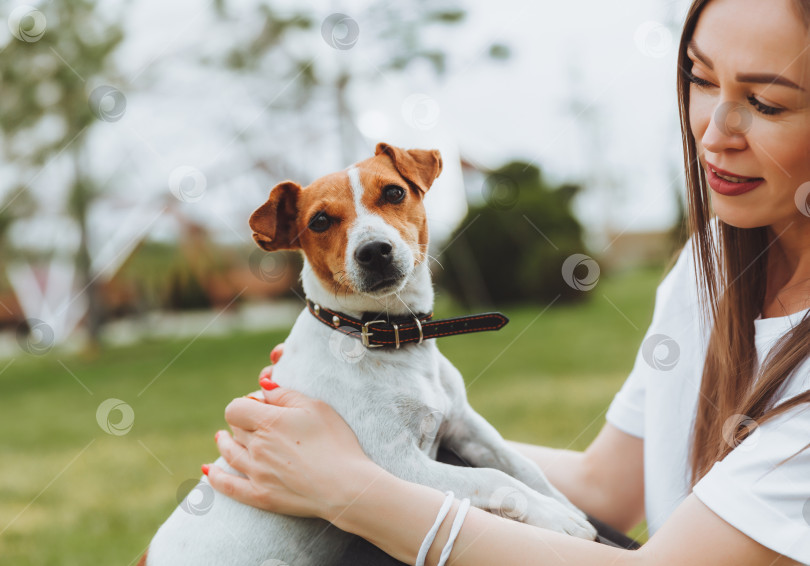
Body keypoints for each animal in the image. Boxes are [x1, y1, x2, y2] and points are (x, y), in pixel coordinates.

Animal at [142, 143, 592, 566]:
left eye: (394, 192)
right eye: (320, 221)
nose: (374, 251)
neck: (388, 336)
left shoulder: (465, 426)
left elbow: (522, 467)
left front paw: (566, 508)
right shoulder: (396, 466)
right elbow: (494, 478)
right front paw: (558, 519)